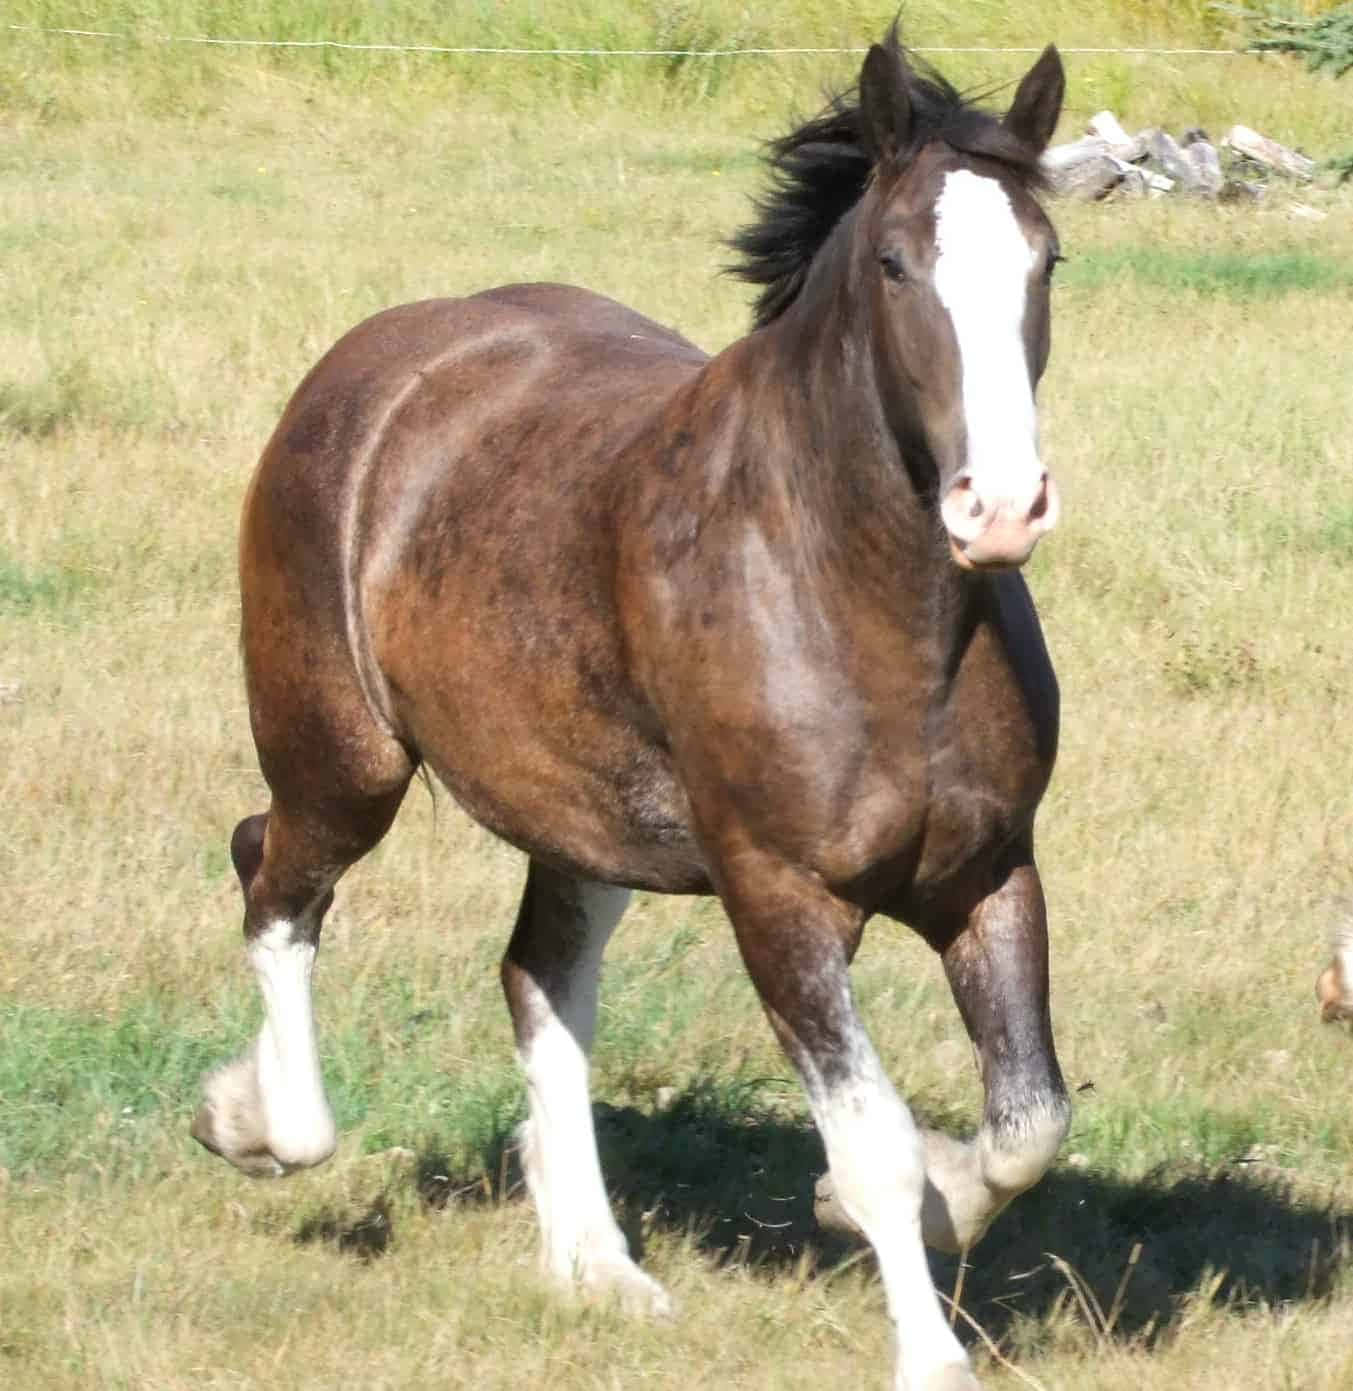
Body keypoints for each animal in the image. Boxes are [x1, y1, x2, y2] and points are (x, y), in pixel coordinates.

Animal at [192, 31, 1070, 1391]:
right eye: (895, 263)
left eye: (1045, 257)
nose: (1003, 508)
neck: (856, 598)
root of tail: (373, 362)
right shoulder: (777, 896)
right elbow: (871, 1134)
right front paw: (925, 1340)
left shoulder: (987, 868)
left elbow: (1028, 1120)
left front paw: (920, 1196)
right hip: (342, 757)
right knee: (274, 883)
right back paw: (255, 1120)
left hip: (581, 819)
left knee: (537, 979)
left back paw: (594, 1263)